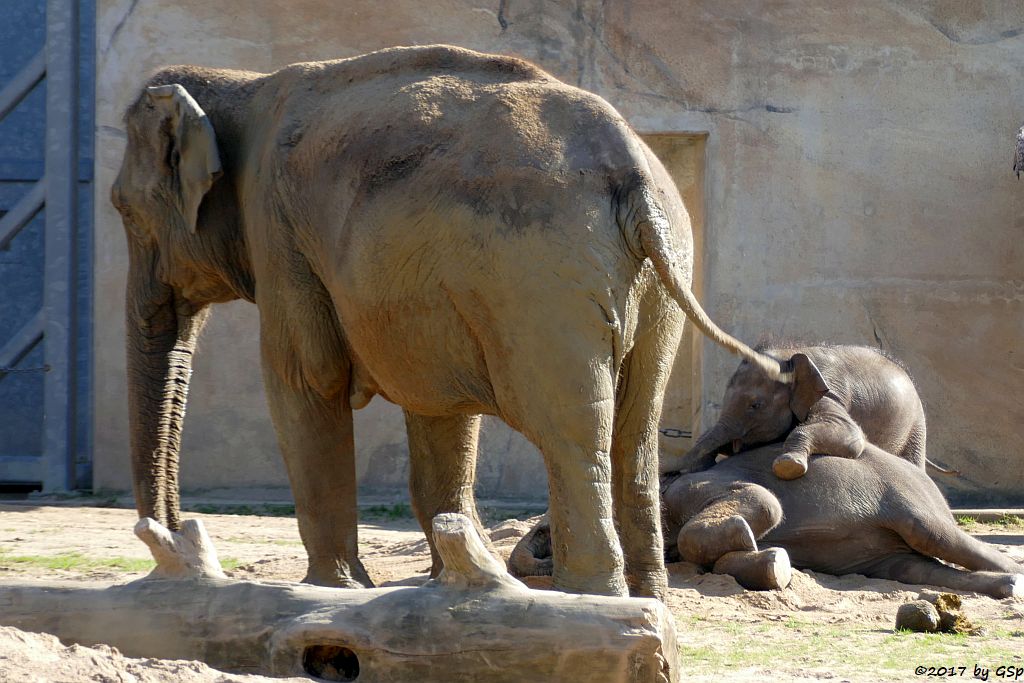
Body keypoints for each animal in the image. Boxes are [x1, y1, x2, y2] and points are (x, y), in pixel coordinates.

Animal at [112, 44, 778, 598]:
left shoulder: (281, 237)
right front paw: (448, 587)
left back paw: (591, 598)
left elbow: (306, 382)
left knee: (569, 429)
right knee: (634, 432)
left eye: (123, 208)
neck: (242, 85)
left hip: (539, 279)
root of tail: (634, 173)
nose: (175, 532)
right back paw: (646, 599)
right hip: (657, 273)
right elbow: (438, 410)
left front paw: (337, 590)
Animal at [512, 444, 1024, 598]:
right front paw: (768, 558)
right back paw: (1001, 588)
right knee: (911, 568)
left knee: (939, 537)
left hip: (910, 499)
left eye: (544, 532)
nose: (538, 544)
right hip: (887, 556)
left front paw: (750, 539)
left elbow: (762, 500)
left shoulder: (693, 487)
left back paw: (1013, 580)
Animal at [655, 342, 950, 481]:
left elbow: (852, 437)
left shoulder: (830, 393)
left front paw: (789, 466)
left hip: (917, 424)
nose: (669, 473)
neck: (791, 356)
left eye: (755, 405)